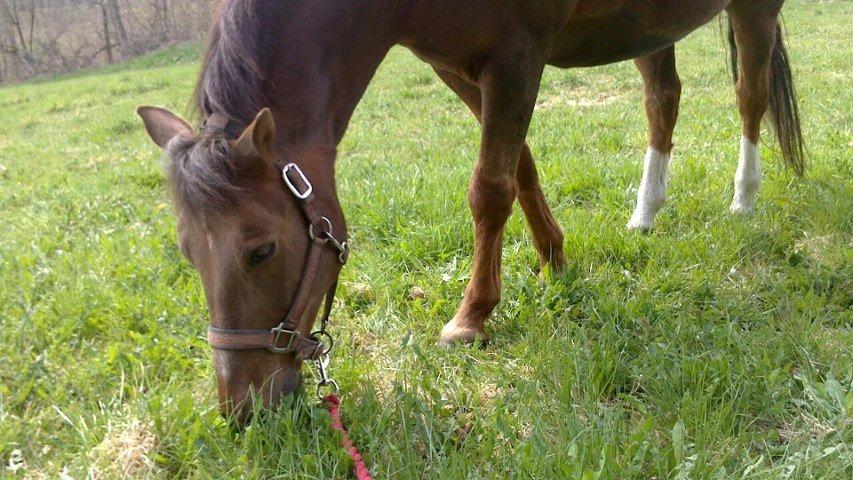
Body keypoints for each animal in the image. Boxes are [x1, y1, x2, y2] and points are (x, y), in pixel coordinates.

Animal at [138, 0, 800, 418]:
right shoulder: (458, 66)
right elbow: (519, 166)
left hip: (753, 8)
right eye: (188, 254)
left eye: (261, 249)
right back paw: (645, 212)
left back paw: (744, 198)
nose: (242, 410)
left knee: (750, 96)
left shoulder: (515, 58)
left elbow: (489, 189)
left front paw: (472, 316)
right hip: (647, 27)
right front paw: (553, 258)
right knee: (663, 99)